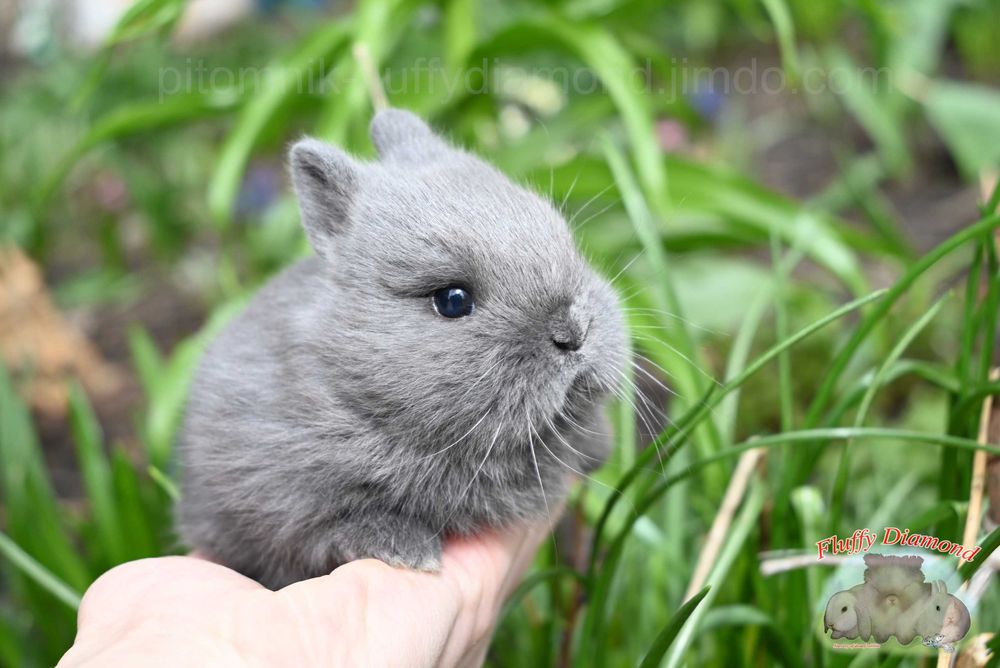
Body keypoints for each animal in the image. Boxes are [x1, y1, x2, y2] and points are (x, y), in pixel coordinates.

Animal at [175, 109, 628, 589]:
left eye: (567, 243)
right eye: (453, 300)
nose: (574, 333)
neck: (354, 387)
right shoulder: (276, 500)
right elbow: (331, 526)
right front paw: (409, 551)